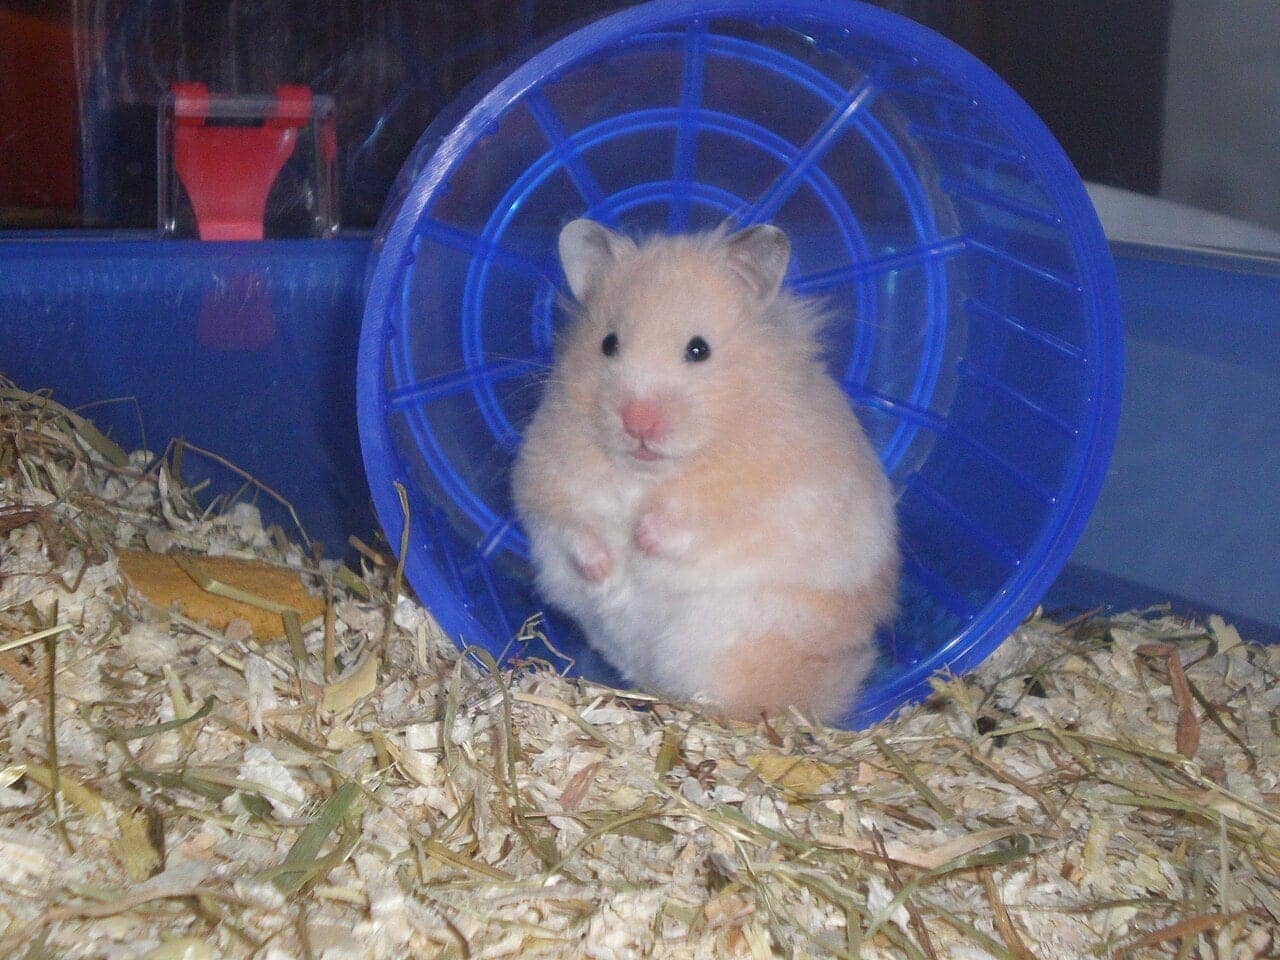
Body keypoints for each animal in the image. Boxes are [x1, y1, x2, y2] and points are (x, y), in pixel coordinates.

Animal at [511, 218, 899, 724]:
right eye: (608, 344)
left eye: (699, 350)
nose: (637, 422)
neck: (648, 473)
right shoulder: (543, 485)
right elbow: (574, 529)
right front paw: (603, 567)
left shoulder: (779, 507)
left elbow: (702, 529)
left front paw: (641, 536)